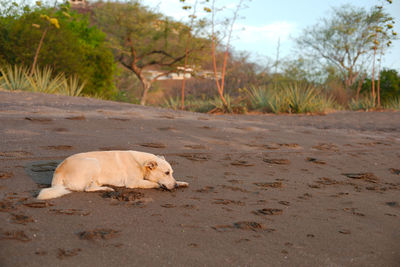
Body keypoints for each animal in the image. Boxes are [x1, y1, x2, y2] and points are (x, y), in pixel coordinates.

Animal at [36, 151, 188, 201]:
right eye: (166, 173)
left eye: (171, 173)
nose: (175, 186)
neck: (141, 163)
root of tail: (58, 172)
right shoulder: (133, 182)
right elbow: (154, 183)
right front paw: (162, 185)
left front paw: (181, 182)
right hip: (94, 162)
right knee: (88, 189)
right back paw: (107, 188)